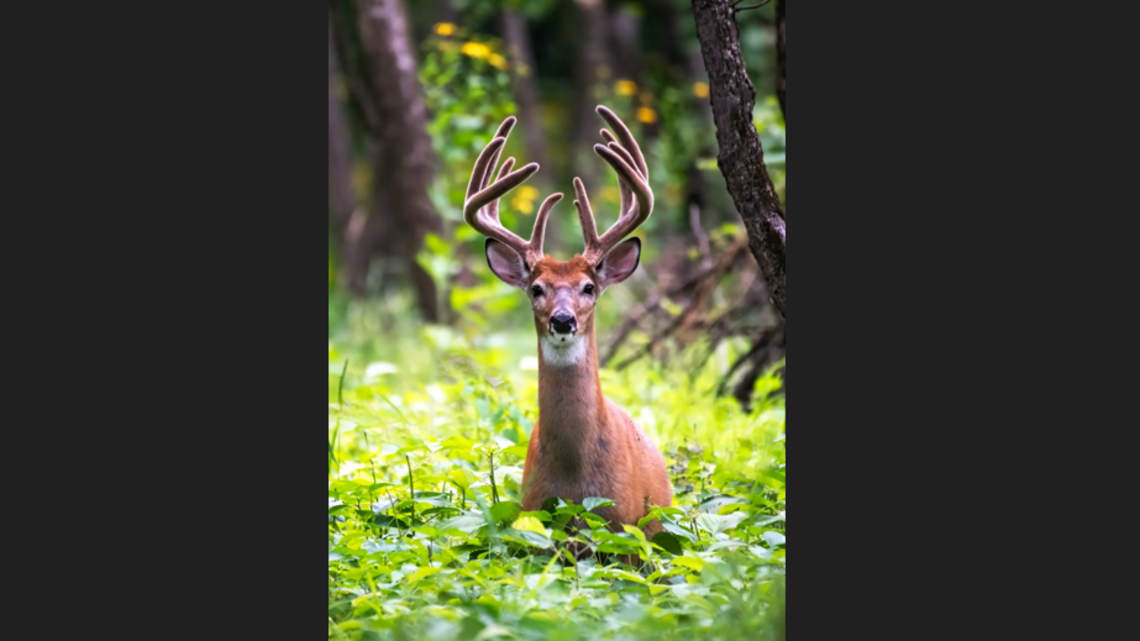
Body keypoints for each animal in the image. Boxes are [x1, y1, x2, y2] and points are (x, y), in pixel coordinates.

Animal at [462, 106, 672, 552]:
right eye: (536, 288)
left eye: (588, 287)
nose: (563, 320)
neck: (575, 478)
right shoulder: (535, 517)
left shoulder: (623, 529)